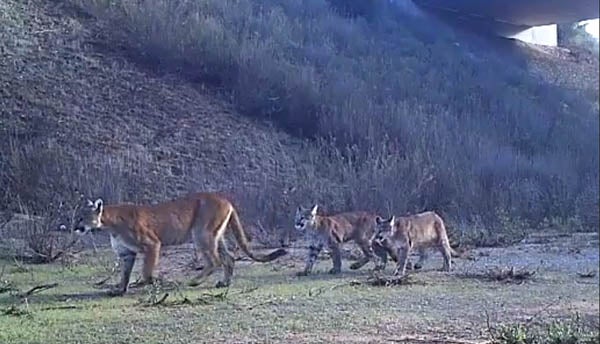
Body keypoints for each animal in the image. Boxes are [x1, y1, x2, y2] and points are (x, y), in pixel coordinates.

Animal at [74, 194, 290, 296]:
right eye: (76, 216)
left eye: (82, 217)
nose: (75, 227)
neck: (109, 224)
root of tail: (224, 198)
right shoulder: (127, 254)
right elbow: (124, 274)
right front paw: (120, 289)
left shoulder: (152, 244)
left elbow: (146, 270)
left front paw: (146, 282)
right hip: (216, 236)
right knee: (229, 258)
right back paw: (224, 283)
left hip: (201, 234)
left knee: (215, 261)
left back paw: (195, 281)